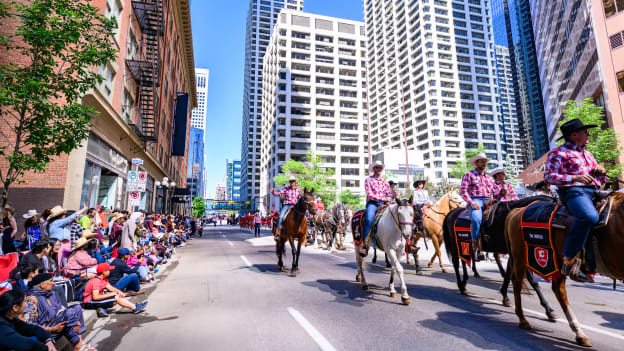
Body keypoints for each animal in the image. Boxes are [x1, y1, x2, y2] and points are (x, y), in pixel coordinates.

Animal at [504, 192, 624, 350]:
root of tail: (517, 211)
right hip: (521, 258)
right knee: (517, 283)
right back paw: (523, 319)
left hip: (557, 262)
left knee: (558, 290)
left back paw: (579, 333)